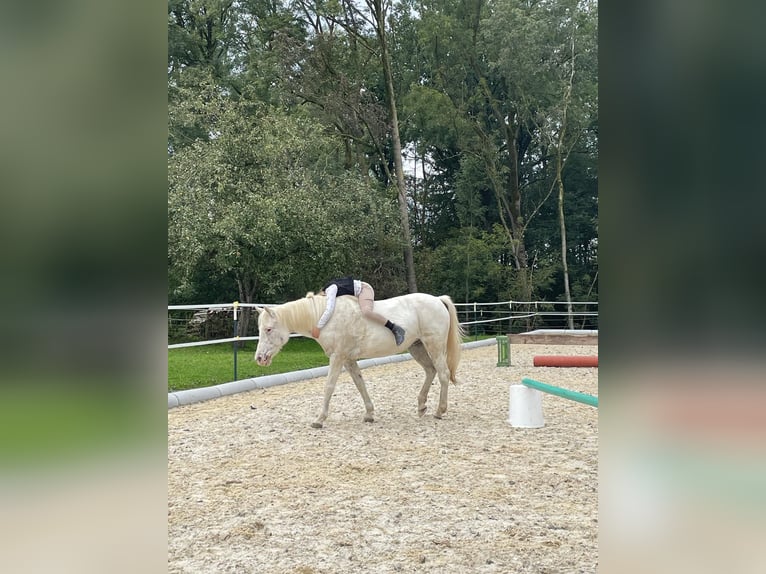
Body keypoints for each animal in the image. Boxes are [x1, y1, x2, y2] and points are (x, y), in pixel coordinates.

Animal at [255, 294, 464, 430]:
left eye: (268, 329)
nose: (259, 358)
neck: (326, 317)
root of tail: (437, 300)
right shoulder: (348, 360)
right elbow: (360, 384)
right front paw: (369, 414)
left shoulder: (337, 357)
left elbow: (329, 386)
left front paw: (319, 419)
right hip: (417, 347)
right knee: (430, 371)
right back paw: (421, 407)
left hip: (434, 346)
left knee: (443, 374)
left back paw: (440, 410)